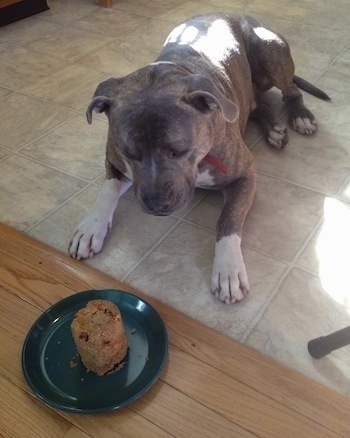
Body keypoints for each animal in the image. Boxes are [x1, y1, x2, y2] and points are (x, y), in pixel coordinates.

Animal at [67, 12, 328, 302]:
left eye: (179, 150)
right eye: (129, 152)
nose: (156, 204)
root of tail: (234, 14)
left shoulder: (246, 175)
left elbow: (228, 220)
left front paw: (228, 269)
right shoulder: (114, 162)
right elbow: (106, 192)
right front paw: (91, 228)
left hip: (269, 50)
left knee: (290, 89)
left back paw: (300, 116)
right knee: (256, 103)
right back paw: (273, 128)